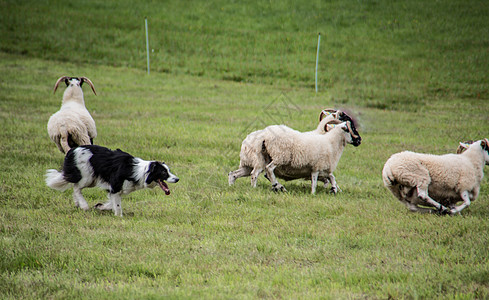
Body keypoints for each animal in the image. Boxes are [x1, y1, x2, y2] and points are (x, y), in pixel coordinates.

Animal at [45, 145, 179, 217]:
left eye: (169, 170)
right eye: (164, 173)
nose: (177, 179)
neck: (139, 171)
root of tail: (71, 150)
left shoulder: (116, 189)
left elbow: (112, 201)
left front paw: (101, 207)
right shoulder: (115, 185)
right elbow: (118, 204)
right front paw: (119, 216)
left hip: (92, 179)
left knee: (74, 187)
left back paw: (78, 204)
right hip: (87, 177)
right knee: (77, 187)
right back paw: (84, 205)